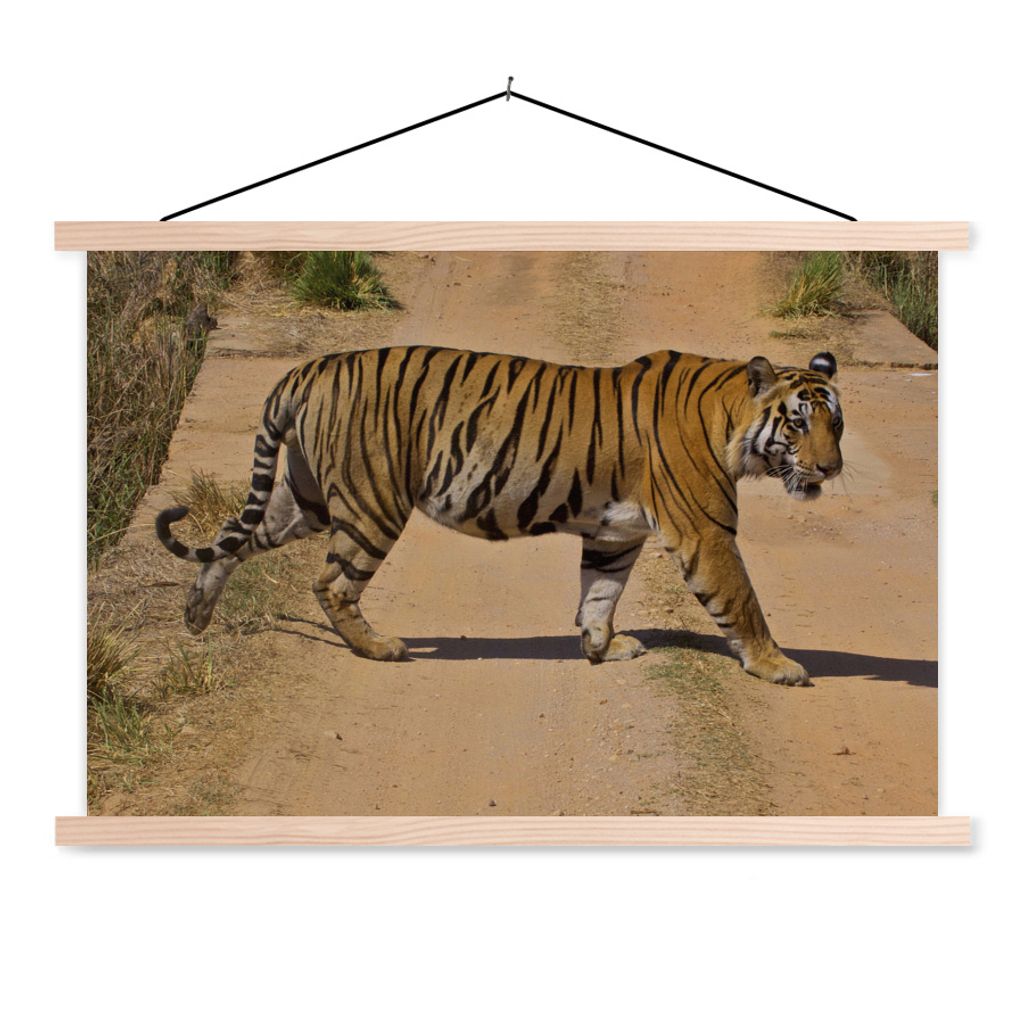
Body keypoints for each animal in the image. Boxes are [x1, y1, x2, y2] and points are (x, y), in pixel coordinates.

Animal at [156, 346, 843, 685]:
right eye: (796, 424)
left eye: (835, 423)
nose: (832, 468)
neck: (730, 418)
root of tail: (307, 368)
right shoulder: (706, 531)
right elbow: (742, 600)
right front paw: (778, 666)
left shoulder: (615, 532)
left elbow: (600, 593)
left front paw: (602, 648)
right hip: (371, 502)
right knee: (330, 583)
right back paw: (379, 649)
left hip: (305, 499)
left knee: (231, 537)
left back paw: (195, 615)